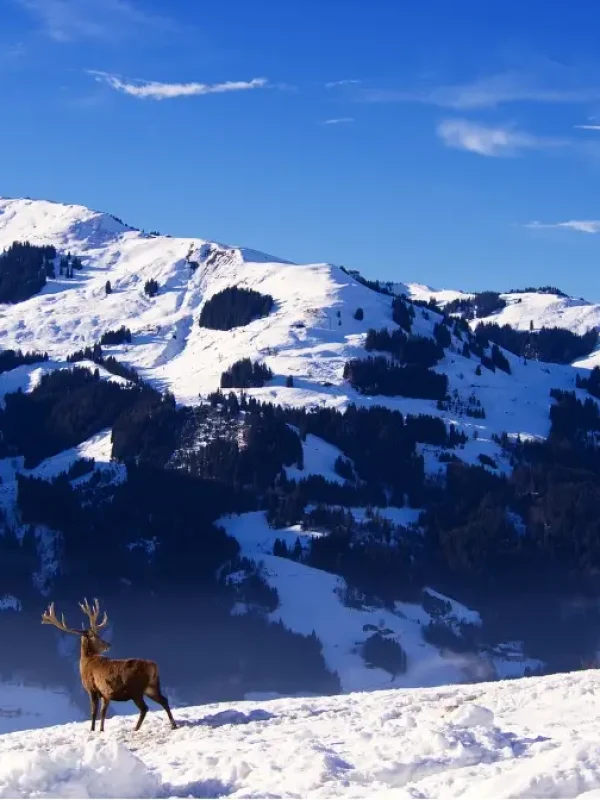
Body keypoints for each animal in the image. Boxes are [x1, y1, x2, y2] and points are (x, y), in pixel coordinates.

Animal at [42, 598, 177, 733]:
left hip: (136, 689)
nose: (108, 644)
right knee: (164, 700)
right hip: (151, 686)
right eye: (95, 636)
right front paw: (101, 730)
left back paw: (136, 728)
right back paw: (173, 725)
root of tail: (153, 666)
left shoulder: (91, 688)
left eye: (98, 635)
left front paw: (92, 730)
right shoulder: (105, 693)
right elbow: (103, 712)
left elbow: (93, 712)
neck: (86, 663)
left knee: (145, 708)